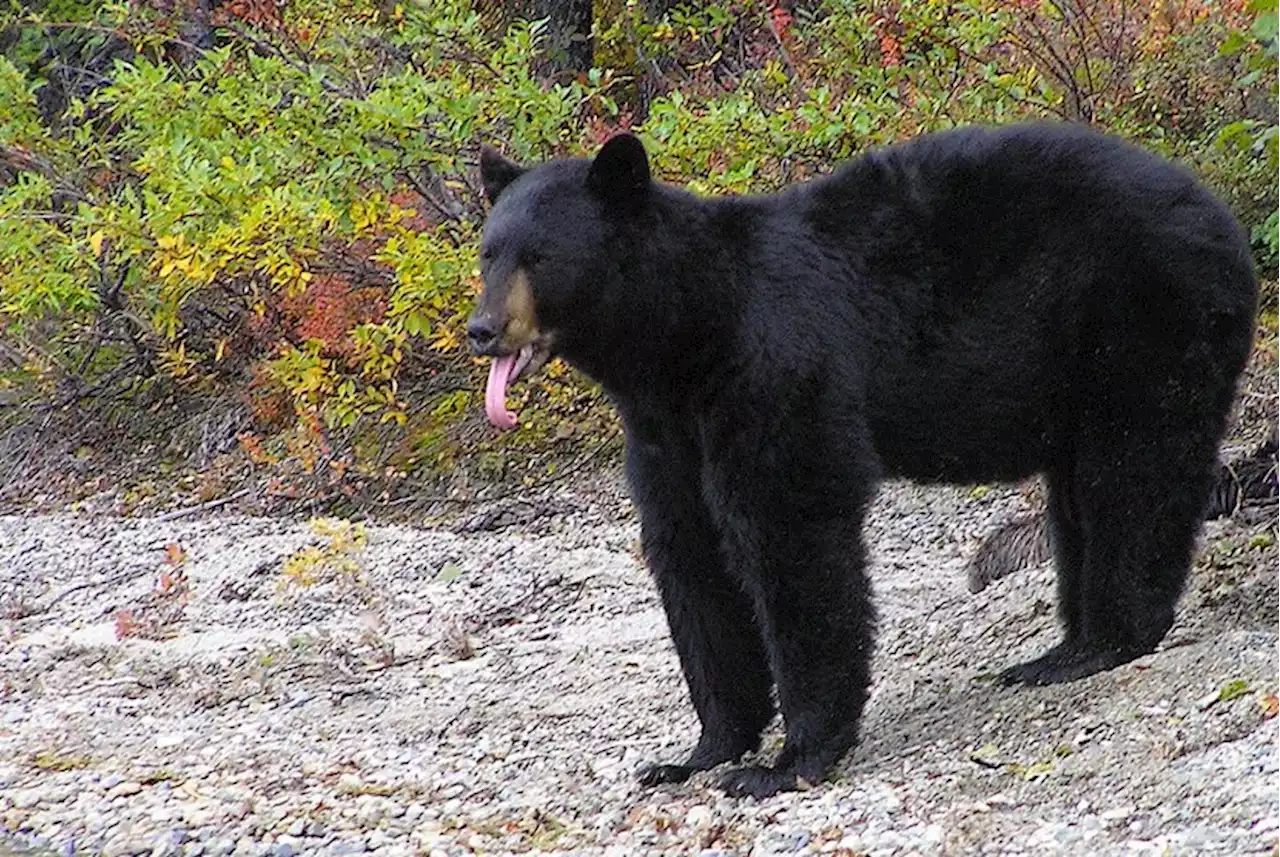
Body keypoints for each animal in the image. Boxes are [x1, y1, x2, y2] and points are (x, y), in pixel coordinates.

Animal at [465, 122, 1254, 798]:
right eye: (489, 251)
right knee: (1082, 496)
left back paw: (1108, 639)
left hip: (1140, 320)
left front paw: (786, 760)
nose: (483, 329)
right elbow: (689, 557)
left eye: (540, 255)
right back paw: (1061, 651)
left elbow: (792, 532)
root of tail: (1220, 215)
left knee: (1133, 472)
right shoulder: (667, 432)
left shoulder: (775, 371)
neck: (681, 338)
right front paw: (699, 751)